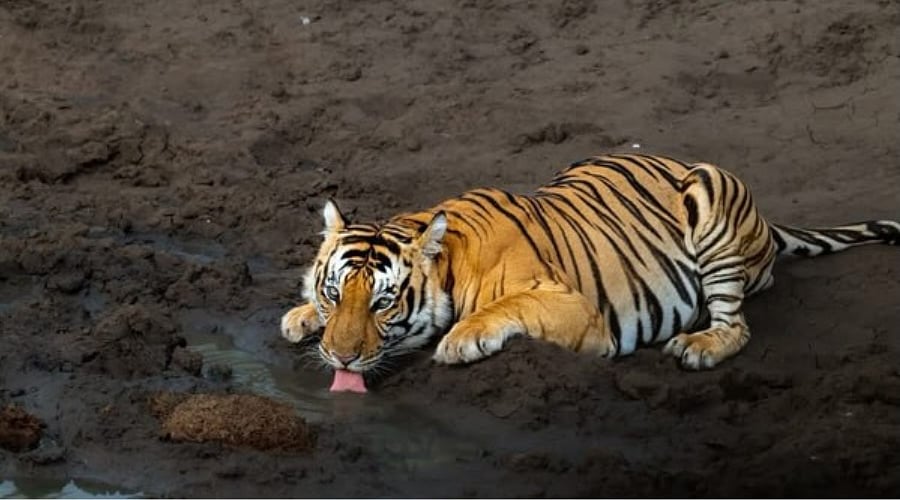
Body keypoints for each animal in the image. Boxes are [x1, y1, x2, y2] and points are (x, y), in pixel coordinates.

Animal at [280, 153, 899, 373]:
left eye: (383, 303)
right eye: (335, 293)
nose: (339, 358)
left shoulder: (578, 310)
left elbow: (510, 304)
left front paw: (461, 339)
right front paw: (299, 316)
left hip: (712, 197)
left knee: (737, 325)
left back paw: (699, 347)